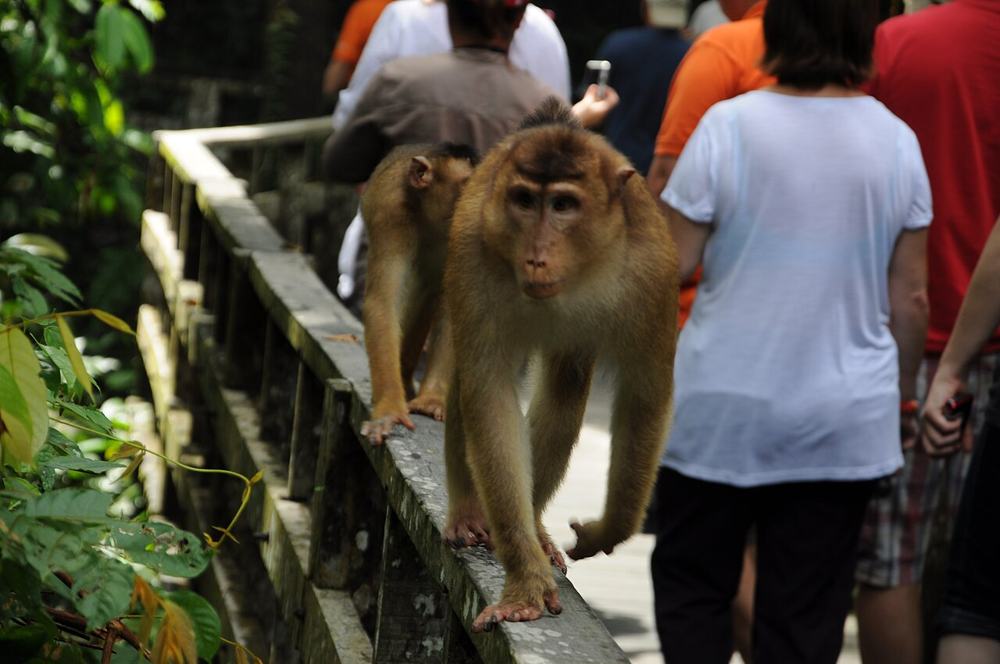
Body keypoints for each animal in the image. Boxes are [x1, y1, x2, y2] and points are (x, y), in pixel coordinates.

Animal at [442, 99, 680, 631]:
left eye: (564, 206)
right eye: (525, 201)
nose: (535, 258)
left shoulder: (653, 271)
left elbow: (645, 396)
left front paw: (608, 529)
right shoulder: (470, 252)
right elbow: (488, 395)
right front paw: (526, 580)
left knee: (567, 387)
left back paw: (533, 525)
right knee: (470, 379)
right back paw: (471, 512)